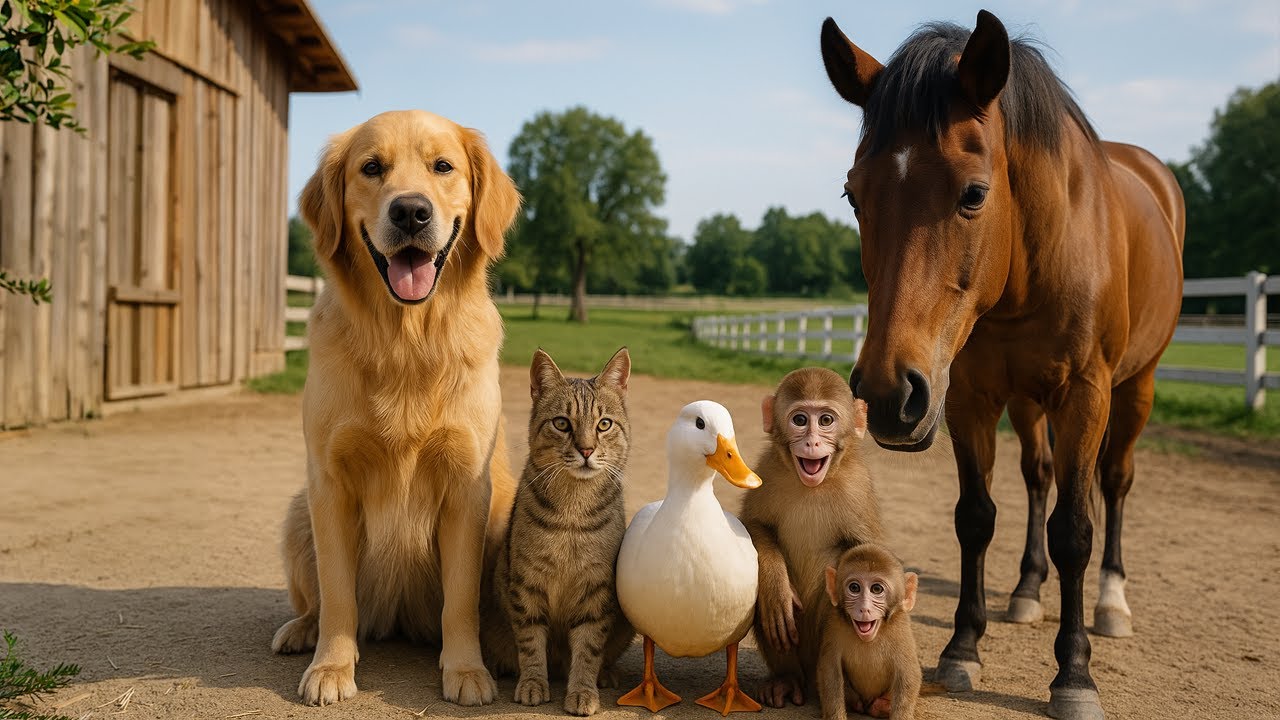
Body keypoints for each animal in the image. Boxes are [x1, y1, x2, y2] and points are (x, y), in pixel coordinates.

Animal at [738, 367, 884, 707]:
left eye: (826, 420)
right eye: (800, 419)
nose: (812, 442)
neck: (813, 486)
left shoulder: (857, 487)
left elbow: (868, 555)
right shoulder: (768, 469)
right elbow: (755, 525)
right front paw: (776, 587)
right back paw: (786, 680)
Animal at [816, 543, 921, 720]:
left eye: (876, 589)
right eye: (854, 587)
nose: (864, 608)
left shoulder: (901, 628)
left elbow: (908, 673)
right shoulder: (834, 624)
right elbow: (830, 668)